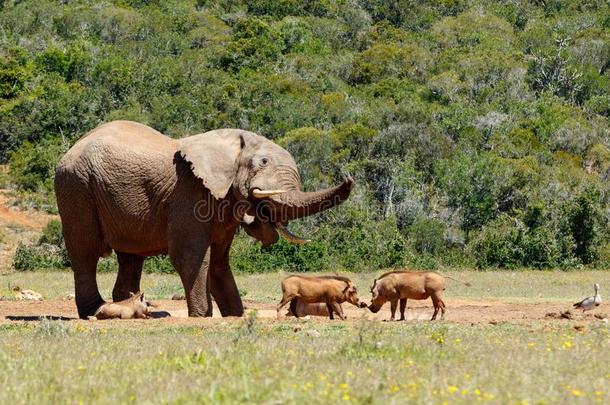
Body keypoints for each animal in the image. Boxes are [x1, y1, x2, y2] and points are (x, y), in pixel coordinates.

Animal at [57, 121, 354, 318]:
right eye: (263, 162)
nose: (349, 176)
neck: (231, 144)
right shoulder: (188, 192)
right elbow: (190, 256)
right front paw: (202, 316)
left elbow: (220, 262)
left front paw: (235, 316)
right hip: (76, 186)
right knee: (84, 252)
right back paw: (94, 309)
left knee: (131, 257)